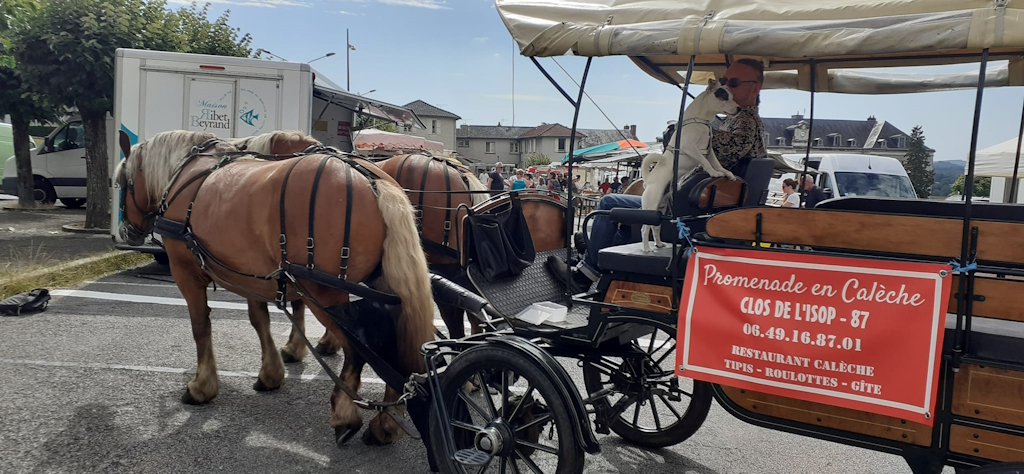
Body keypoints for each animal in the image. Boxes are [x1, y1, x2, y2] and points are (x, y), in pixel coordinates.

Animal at [114, 128, 434, 446]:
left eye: (119, 182)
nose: (126, 232)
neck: (185, 173)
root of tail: (373, 181)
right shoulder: (251, 275)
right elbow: (260, 321)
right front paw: (271, 373)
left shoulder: (186, 274)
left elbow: (200, 326)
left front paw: (201, 386)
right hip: (382, 287)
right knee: (396, 342)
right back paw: (385, 423)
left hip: (324, 292)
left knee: (360, 349)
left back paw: (346, 414)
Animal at [638, 77, 737, 251]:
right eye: (725, 97)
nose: (739, 108)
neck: (702, 121)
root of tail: (648, 180)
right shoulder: (692, 148)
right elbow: (706, 163)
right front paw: (714, 173)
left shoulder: (709, 149)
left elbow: (717, 163)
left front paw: (726, 173)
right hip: (651, 205)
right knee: (645, 229)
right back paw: (646, 248)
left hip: (660, 207)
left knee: (656, 227)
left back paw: (659, 243)